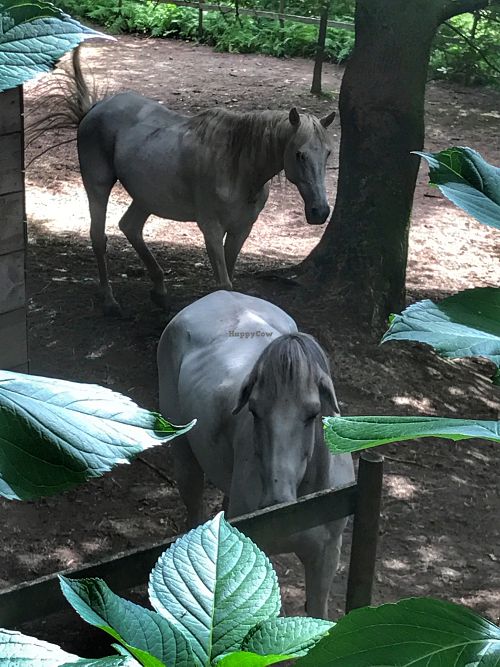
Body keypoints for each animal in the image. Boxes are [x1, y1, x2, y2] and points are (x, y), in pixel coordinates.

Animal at [38, 48, 336, 315]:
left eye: (328, 152)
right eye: (299, 154)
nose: (320, 212)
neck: (237, 166)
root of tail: (94, 109)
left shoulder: (241, 229)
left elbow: (229, 276)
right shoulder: (211, 228)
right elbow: (224, 283)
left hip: (146, 197)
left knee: (130, 227)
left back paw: (159, 291)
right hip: (97, 185)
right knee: (99, 237)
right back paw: (110, 300)